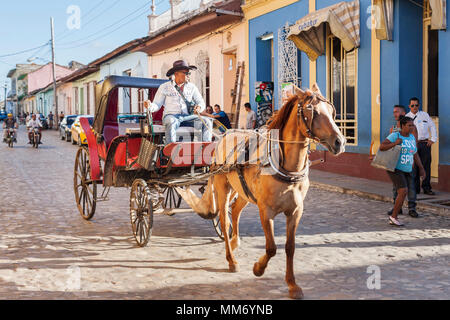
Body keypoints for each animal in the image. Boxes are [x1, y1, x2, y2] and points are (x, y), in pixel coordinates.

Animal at [176, 84, 344, 298]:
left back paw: (234, 242)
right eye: (311, 111)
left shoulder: (295, 211)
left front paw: (292, 284)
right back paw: (231, 259)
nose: (340, 142)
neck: (286, 167)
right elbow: (271, 247)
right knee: (224, 219)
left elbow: (290, 247)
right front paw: (258, 268)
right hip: (223, 187)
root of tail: (224, 135)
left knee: (235, 212)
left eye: (332, 111)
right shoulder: (266, 210)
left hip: (243, 191)